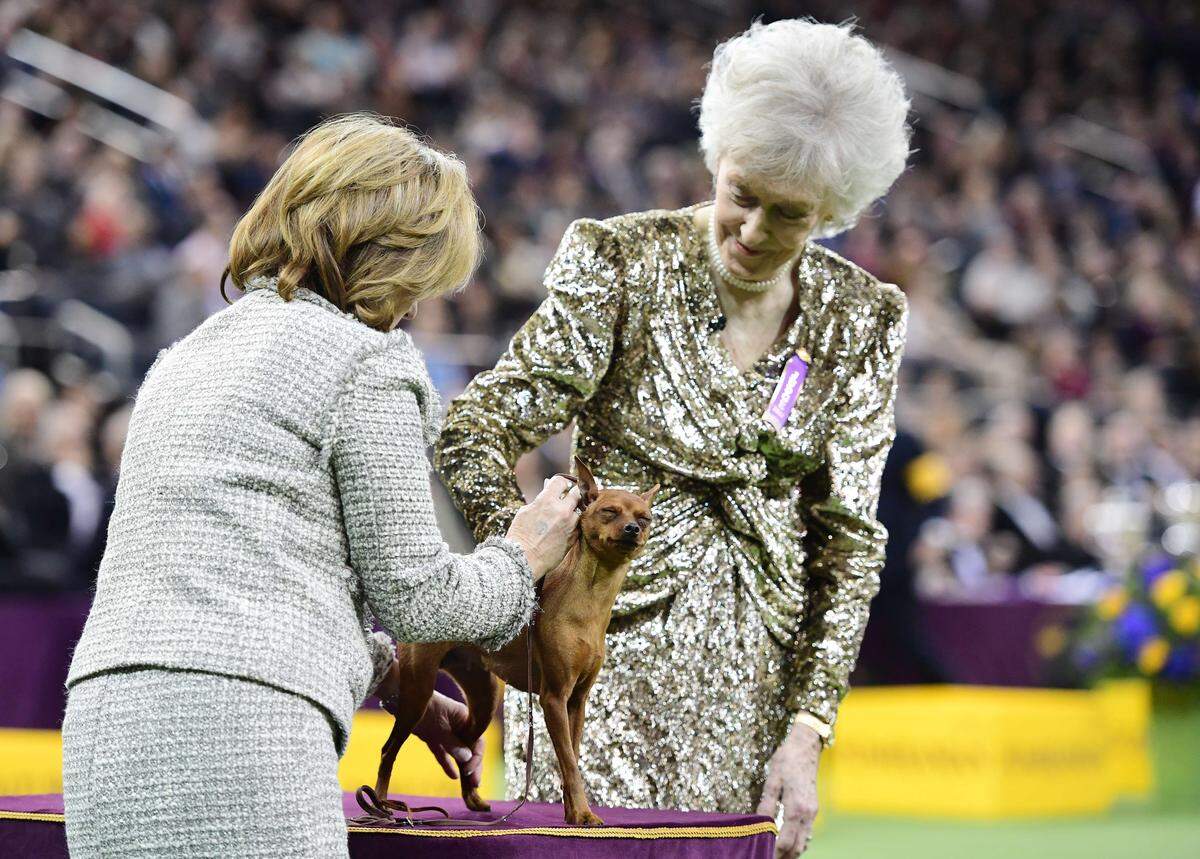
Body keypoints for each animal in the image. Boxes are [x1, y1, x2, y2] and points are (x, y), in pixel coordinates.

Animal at [374, 455, 657, 825]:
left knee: (463, 743)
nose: (632, 530)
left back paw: (473, 800)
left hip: (484, 701)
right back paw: (381, 805)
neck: (590, 600)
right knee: (388, 750)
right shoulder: (554, 698)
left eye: (645, 518)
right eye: (609, 512)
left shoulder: (576, 702)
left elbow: (572, 758)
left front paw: (573, 813)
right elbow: (570, 764)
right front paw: (584, 813)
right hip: (418, 694)